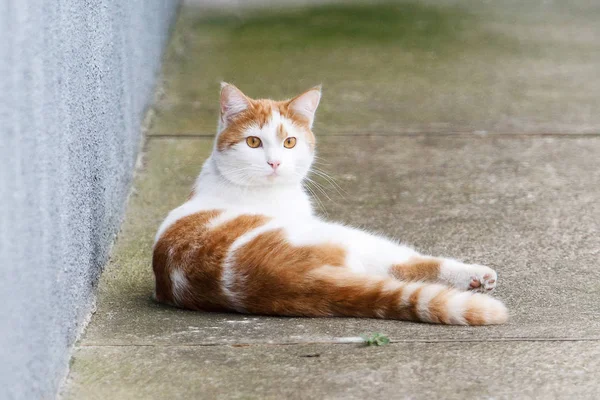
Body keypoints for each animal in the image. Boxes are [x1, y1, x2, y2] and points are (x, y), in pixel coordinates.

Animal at [151, 83, 506, 324]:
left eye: (289, 142)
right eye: (253, 142)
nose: (274, 163)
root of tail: (278, 278)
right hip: (346, 237)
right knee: (406, 264)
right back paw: (475, 274)